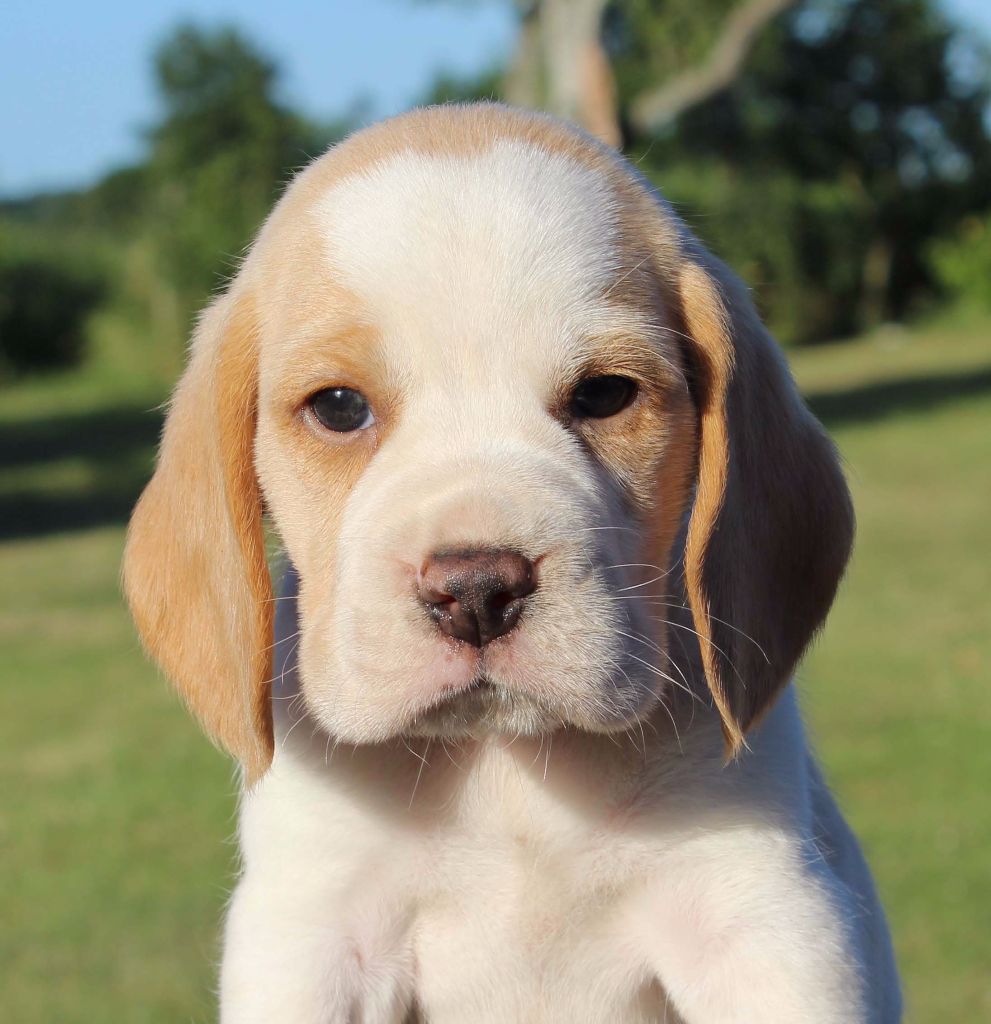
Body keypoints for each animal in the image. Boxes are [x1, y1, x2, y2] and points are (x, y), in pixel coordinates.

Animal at [121, 99, 896, 1019]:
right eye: (338, 407)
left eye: (604, 394)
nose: (476, 591)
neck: (504, 771)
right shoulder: (314, 938)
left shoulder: (762, 919)